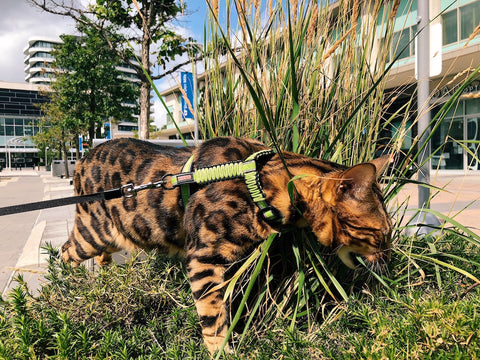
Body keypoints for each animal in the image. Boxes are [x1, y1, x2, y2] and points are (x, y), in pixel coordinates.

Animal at [61, 136, 390, 352]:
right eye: (383, 235)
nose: (389, 257)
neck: (263, 183)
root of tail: (81, 156)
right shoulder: (203, 259)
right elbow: (213, 314)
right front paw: (221, 350)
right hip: (93, 231)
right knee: (65, 253)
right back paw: (68, 287)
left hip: (118, 234)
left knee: (101, 257)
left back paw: (104, 281)